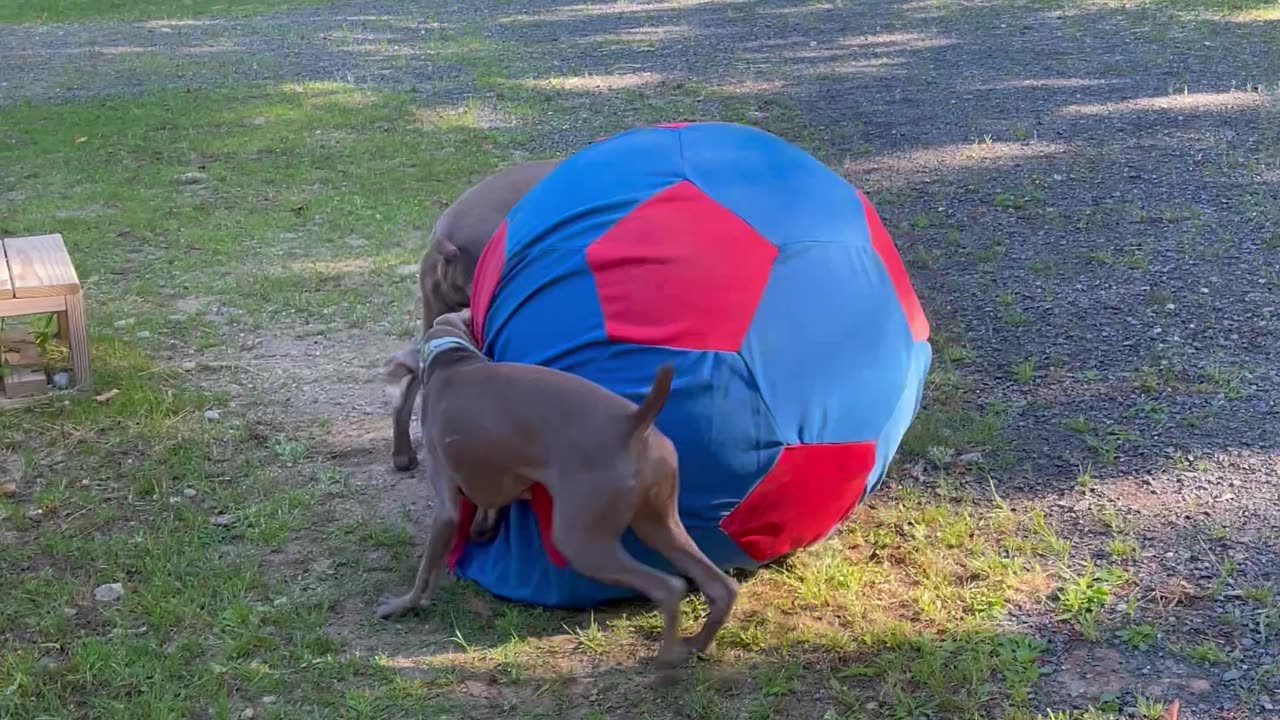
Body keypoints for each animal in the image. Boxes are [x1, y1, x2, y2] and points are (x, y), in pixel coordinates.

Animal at [376, 308, 742, 666]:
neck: (452, 359)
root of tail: (634, 422)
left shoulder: (447, 506)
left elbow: (427, 569)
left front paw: (404, 604)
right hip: (658, 520)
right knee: (721, 586)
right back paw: (697, 645)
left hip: (581, 539)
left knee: (668, 587)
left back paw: (665, 664)